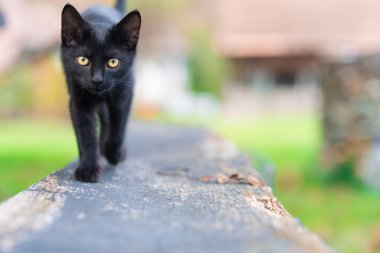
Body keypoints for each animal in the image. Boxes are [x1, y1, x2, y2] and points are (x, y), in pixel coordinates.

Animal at [60, 0, 141, 182]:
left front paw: (114, 154)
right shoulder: (78, 101)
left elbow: (118, 127)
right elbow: (86, 135)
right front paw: (88, 168)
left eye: (113, 62)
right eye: (82, 60)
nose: (97, 80)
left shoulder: (124, 95)